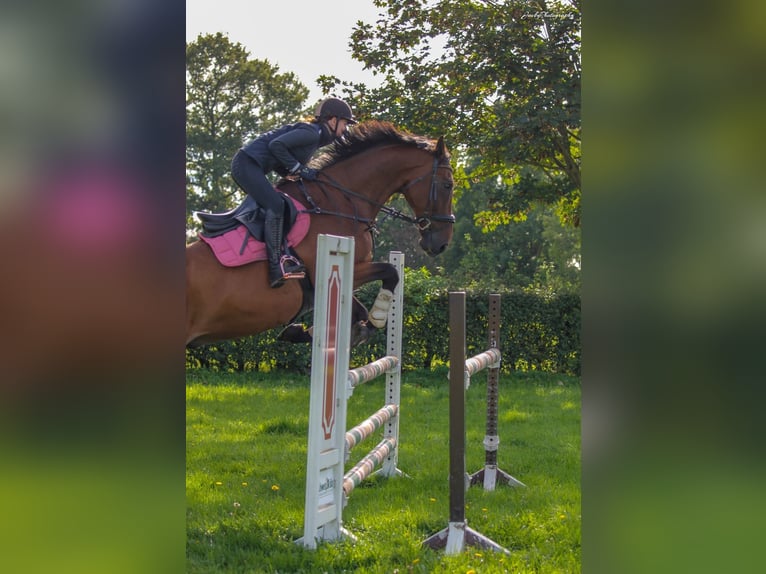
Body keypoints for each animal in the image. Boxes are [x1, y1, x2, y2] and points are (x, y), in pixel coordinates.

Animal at [186, 121, 455, 347]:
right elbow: (390, 273)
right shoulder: (334, 269)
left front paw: (305, 332)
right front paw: (377, 316)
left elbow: (358, 311)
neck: (341, 203)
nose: (441, 244)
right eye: (448, 185)